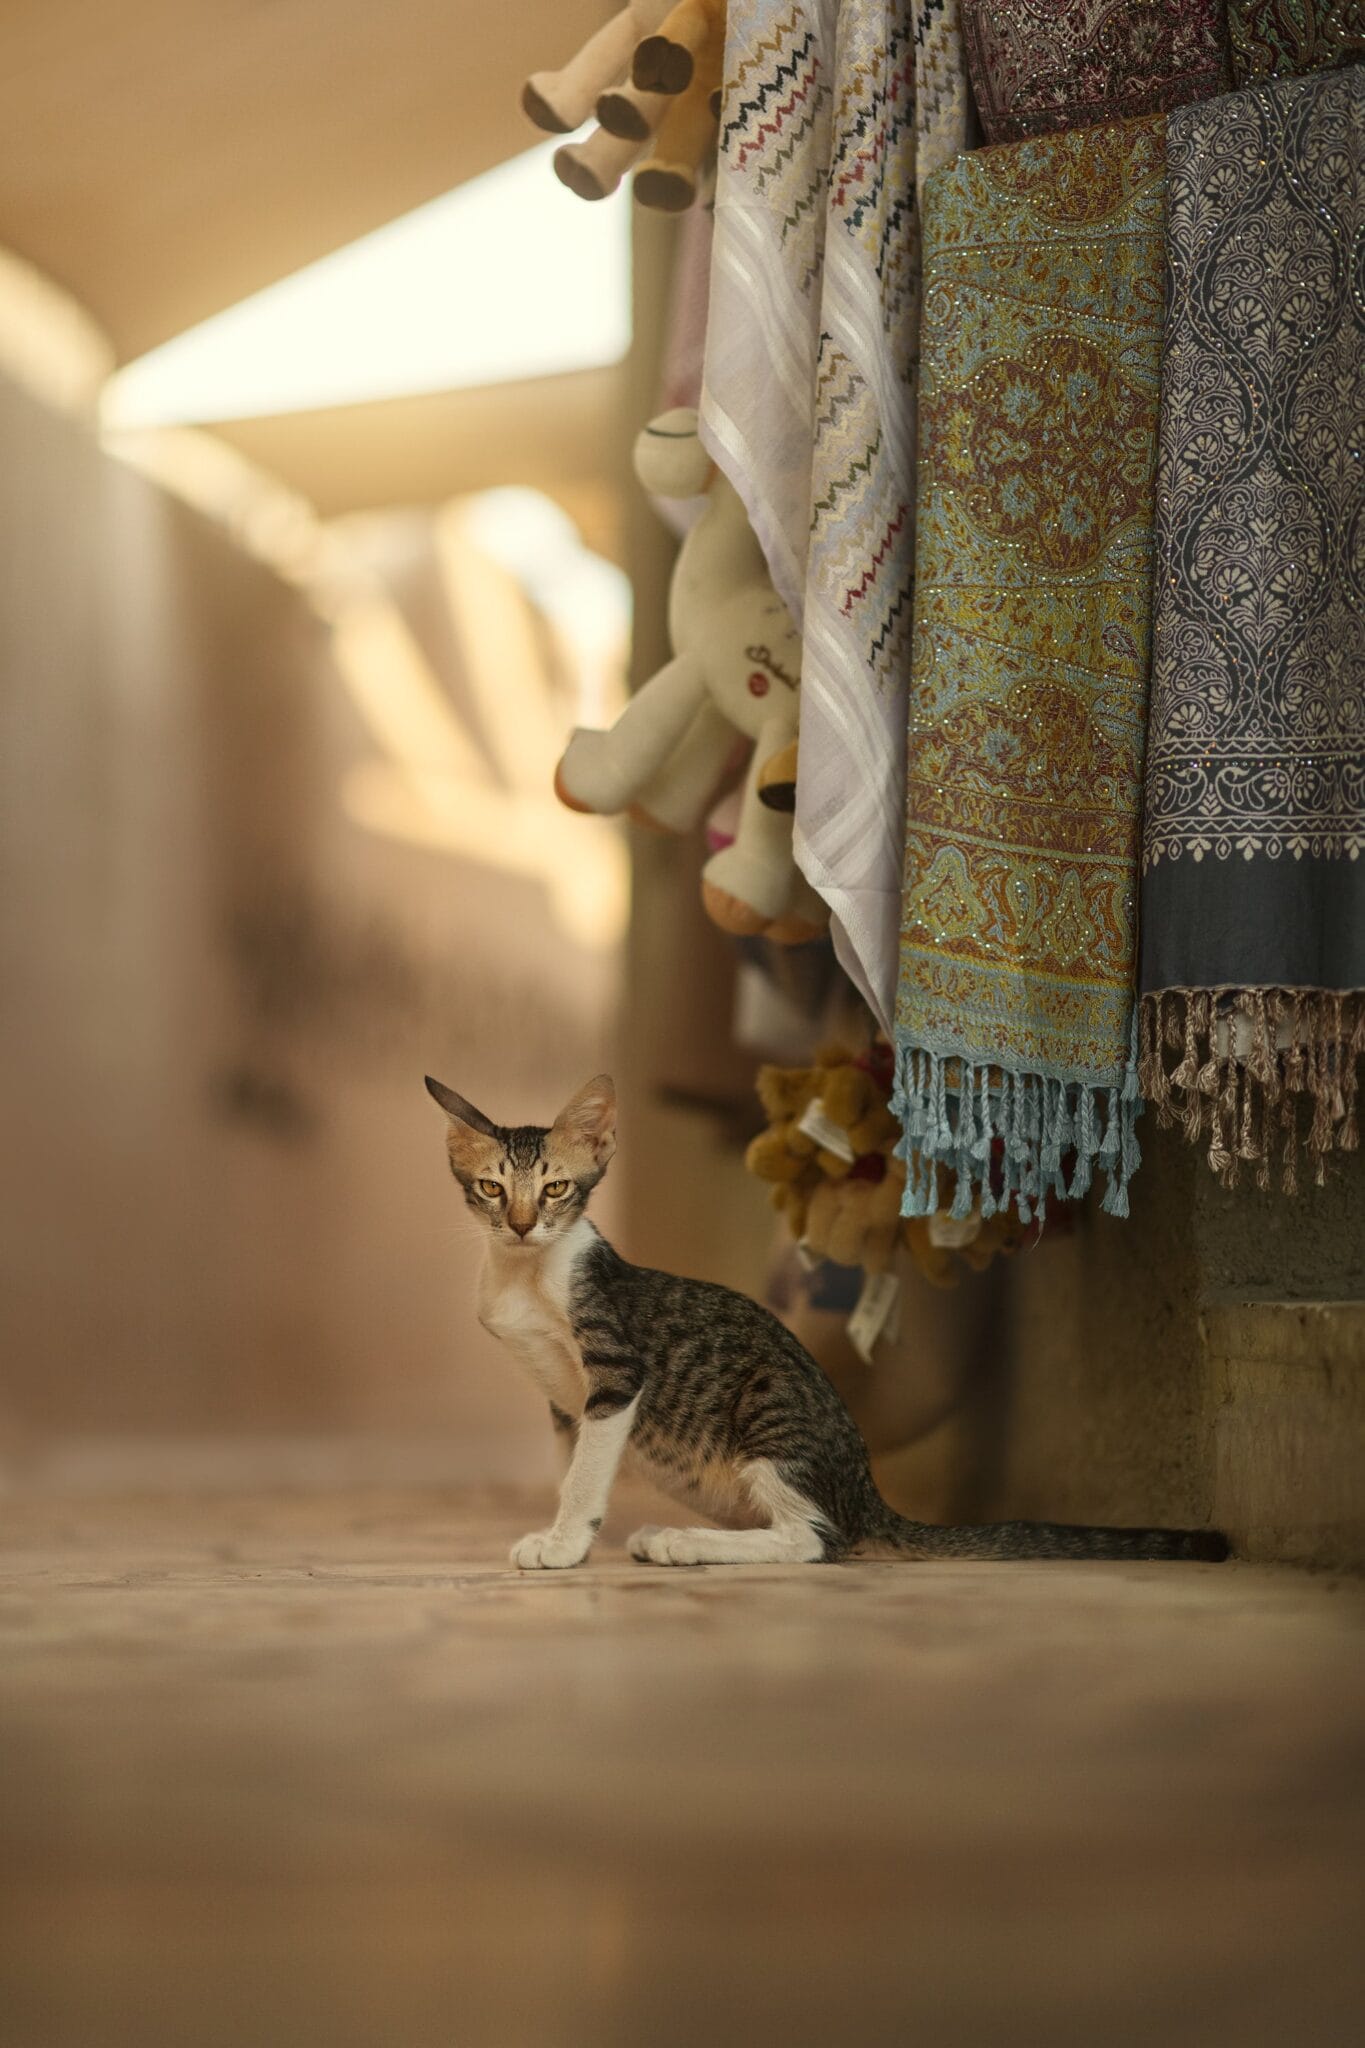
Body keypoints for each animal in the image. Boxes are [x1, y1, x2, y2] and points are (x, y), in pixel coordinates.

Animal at [427, 1073, 1227, 1564]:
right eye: (493, 1189)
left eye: (556, 1188)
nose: (522, 1224)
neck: (527, 1273)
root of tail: (868, 1493)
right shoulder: (563, 1399)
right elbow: (569, 1464)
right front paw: (564, 1535)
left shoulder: (616, 1370)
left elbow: (587, 1470)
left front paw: (564, 1545)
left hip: (769, 1408)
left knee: (815, 1540)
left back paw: (686, 1543)